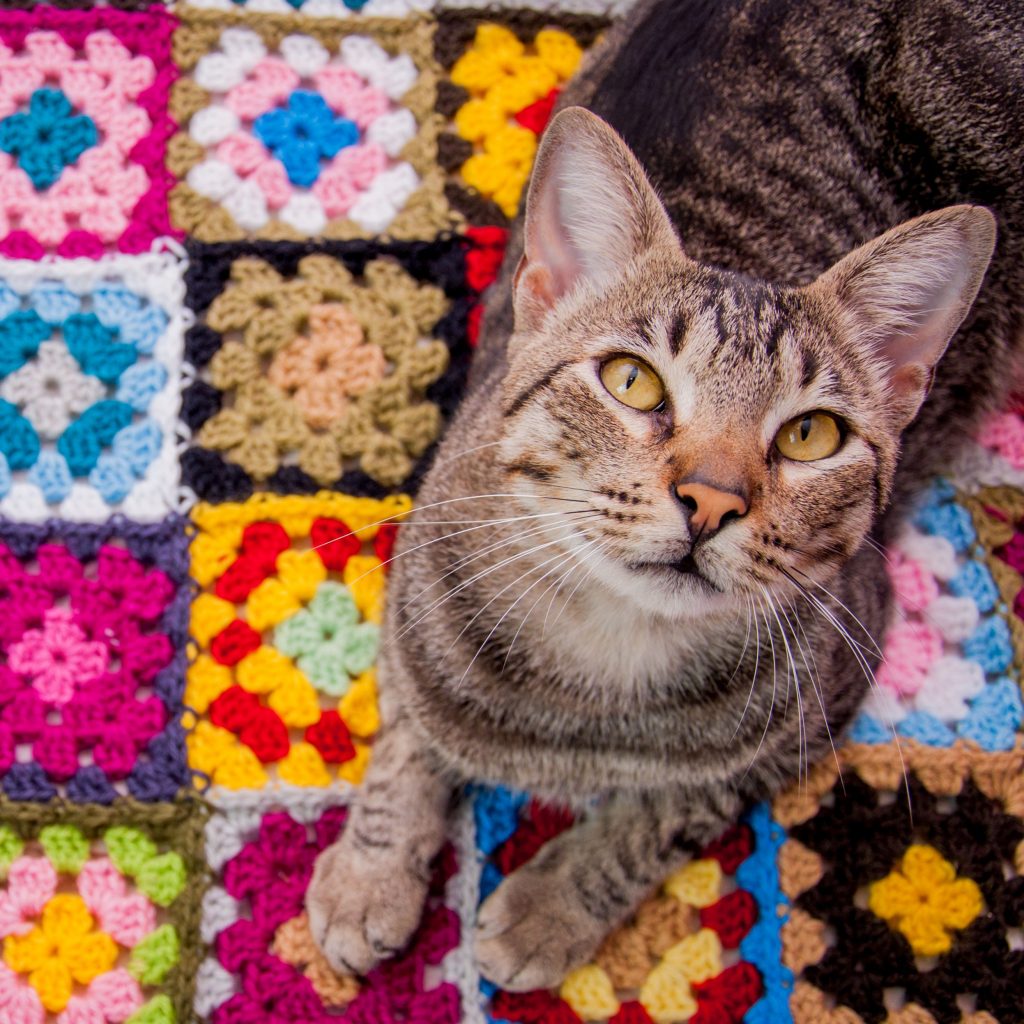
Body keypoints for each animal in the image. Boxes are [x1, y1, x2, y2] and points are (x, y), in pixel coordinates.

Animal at [307, 0, 1019, 991]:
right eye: (632, 381)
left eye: (811, 435)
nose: (712, 501)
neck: (604, 657)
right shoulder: (416, 579)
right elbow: (408, 728)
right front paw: (370, 872)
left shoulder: (829, 686)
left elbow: (667, 810)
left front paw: (550, 905)